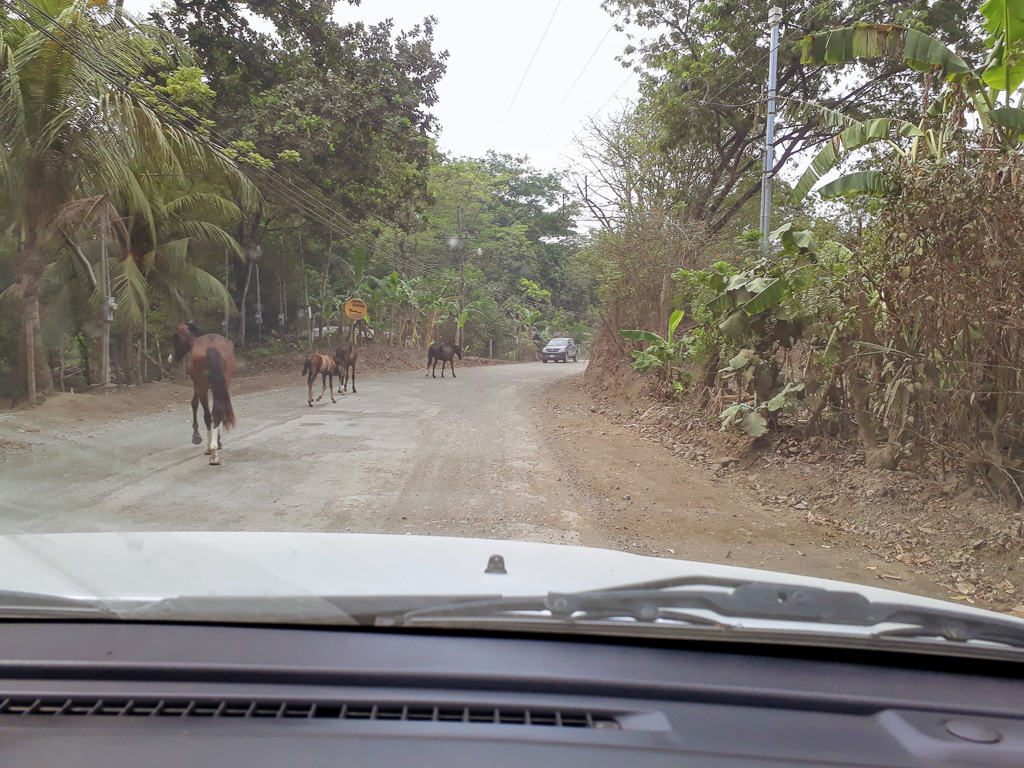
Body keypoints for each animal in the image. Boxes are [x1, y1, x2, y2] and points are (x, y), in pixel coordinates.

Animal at [167, 321, 235, 466]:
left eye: (175, 339)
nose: (170, 359)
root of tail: (212, 347)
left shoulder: (197, 385)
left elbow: (194, 404)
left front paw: (197, 436)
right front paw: (218, 442)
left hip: (203, 388)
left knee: (208, 415)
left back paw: (212, 452)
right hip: (220, 386)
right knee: (217, 413)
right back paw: (214, 451)